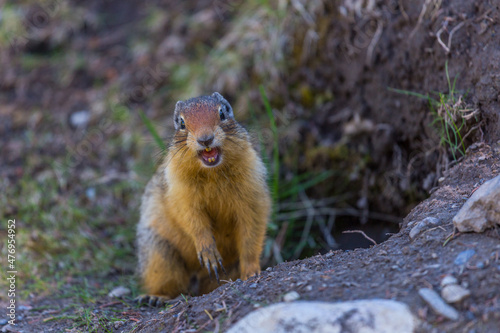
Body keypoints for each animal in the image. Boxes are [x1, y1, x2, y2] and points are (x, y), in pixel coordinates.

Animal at [135, 92, 272, 304]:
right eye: (181, 123)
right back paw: (155, 297)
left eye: (223, 113)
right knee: (172, 285)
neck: (212, 172)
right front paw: (208, 252)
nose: (205, 139)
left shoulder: (252, 189)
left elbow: (252, 231)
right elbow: (193, 220)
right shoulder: (180, 193)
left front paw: (251, 272)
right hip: (158, 253)